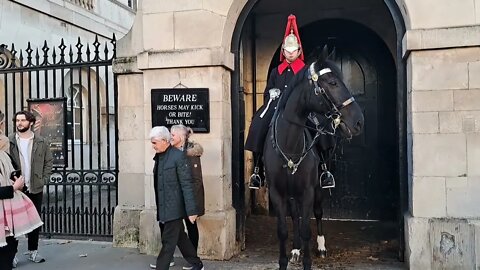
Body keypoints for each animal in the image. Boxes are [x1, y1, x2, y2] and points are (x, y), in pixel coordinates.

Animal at [262, 47, 364, 270]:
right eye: (332, 82)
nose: (358, 121)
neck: (290, 144)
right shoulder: (277, 193)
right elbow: (283, 230)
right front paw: (286, 258)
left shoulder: (308, 191)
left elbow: (306, 228)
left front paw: (309, 258)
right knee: (295, 215)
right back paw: (295, 249)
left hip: (317, 187)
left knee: (317, 213)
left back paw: (321, 247)